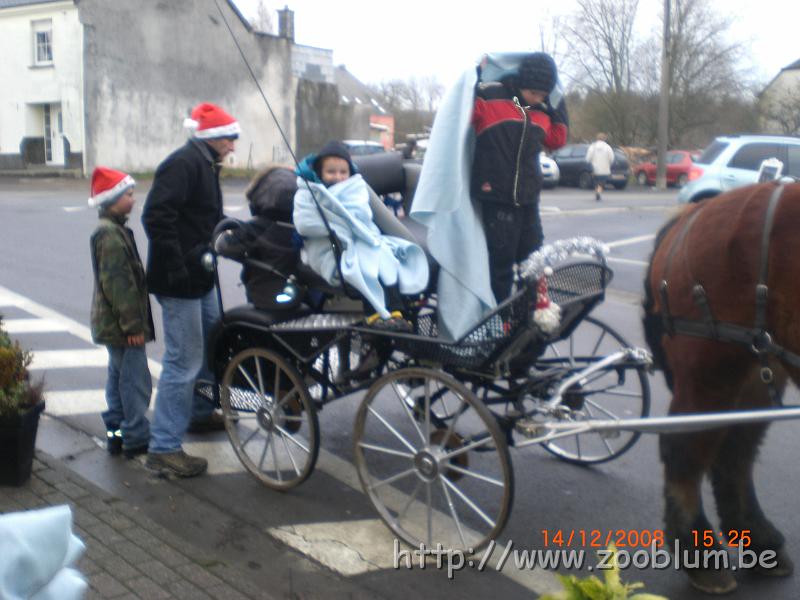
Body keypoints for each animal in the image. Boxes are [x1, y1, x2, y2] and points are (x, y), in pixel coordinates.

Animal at [644, 183, 800, 596]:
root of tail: (692, 214)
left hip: (756, 369)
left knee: (734, 452)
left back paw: (759, 539)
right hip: (710, 369)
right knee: (685, 449)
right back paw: (700, 555)